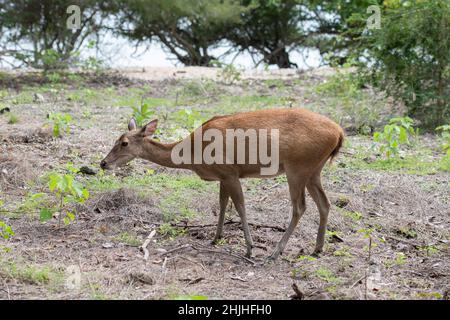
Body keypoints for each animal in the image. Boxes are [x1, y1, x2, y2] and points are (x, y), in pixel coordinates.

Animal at [100, 107, 342, 260]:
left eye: (124, 143)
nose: (103, 163)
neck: (192, 154)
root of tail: (339, 133)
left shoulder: (230, 172)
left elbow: (241, 207)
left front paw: (249, 248)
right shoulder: (223, 176)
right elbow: (223, 204)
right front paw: (216, 238)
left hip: (298, 167)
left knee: (300, 207)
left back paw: (276, 252)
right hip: (314, 170)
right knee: (325, 203)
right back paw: (317, 249)